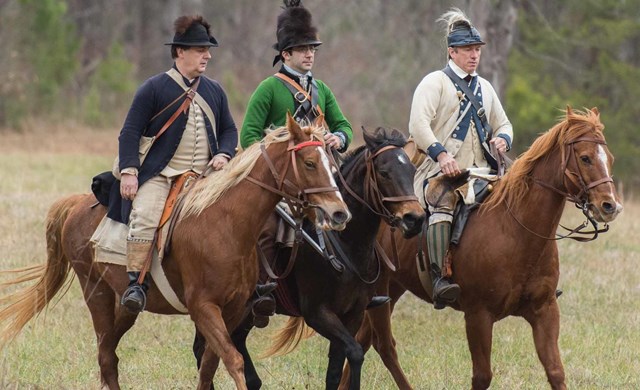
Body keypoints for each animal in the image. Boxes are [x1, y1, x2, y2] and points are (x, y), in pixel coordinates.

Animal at [0, 116, 350, 390]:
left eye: (333, 166)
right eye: (309, 163)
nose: (339, 213)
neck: (226, 223)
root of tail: (74, 204)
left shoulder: (233, 309)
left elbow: (210, 366)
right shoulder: (204, 308)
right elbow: (234, 361)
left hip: (124, 306)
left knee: (110, 353)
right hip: (95, 293)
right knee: (105, 356)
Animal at [192, 126, 424, 388]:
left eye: (412, 170)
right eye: (384, 172)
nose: (415, 219)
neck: (345, 243)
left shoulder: (353, 314)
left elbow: (337, 367)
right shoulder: (318, 314)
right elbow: (355, 352)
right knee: (204, 350)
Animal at [340, 107, 624, 390]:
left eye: (609, 157)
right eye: (585, 158)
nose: (610, 206)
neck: (517, 232)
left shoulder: (545, 311)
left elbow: (555, 371)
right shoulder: (478, 316)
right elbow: (482, 376)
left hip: (393, 289)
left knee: (363, 341)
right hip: (381, 290)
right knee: (383, 345)